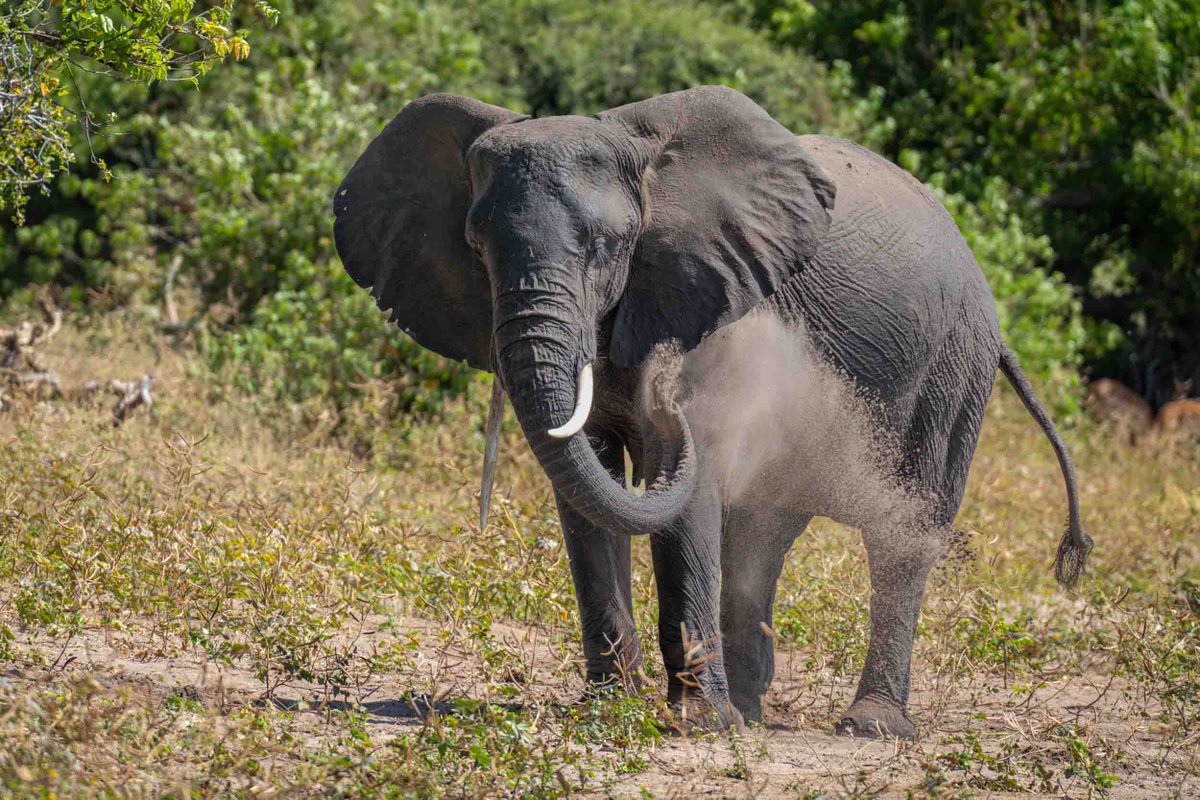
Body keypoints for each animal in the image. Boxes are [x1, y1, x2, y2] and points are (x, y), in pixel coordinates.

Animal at [332, 86, 1092, 738]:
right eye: (476, 246)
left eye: (608, 246)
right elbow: (588, 483)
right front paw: (608, 712)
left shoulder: (711, 300)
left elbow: (688, 487)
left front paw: (697, 727)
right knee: (763, 531)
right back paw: (752, 711)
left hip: (952, 372)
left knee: (902, 536)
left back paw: (867, 726)